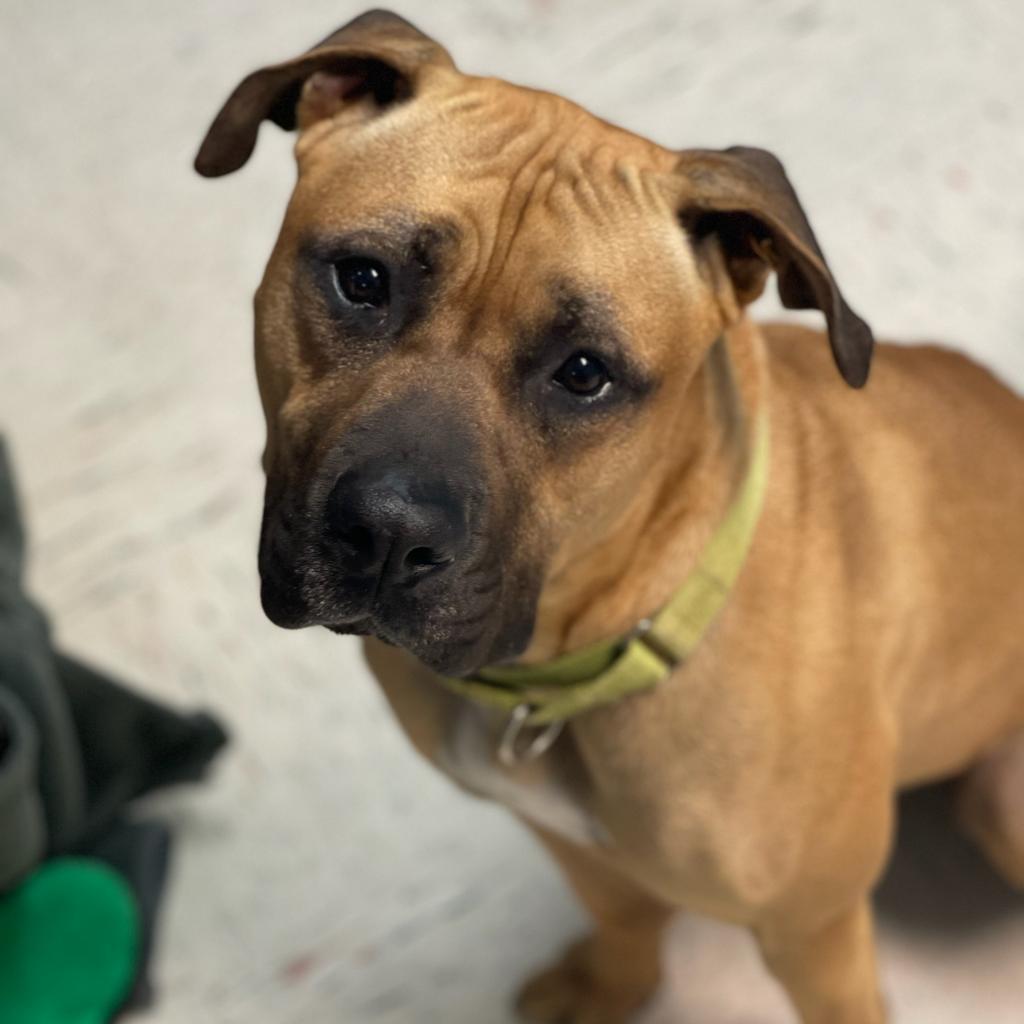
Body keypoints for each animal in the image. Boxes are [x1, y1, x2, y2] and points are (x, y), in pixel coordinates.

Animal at [195, 9, 1024, 1024]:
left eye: (586, 373)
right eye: (363, 279)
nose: (389, 532)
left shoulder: (816, 934)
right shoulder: (567, 840)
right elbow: (625, 916)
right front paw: (610, 988)